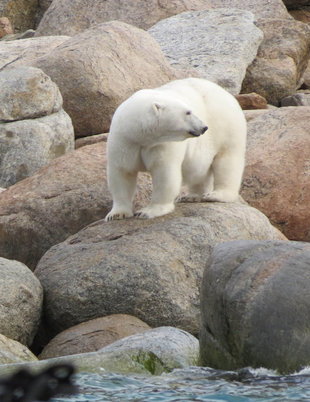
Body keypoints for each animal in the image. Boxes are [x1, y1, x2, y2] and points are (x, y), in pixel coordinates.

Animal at [105, 77, 246, 221]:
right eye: (188, 112)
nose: (204, 127)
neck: (141, 136)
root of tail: (224, 92)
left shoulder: (163, 145)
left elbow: (164, 174)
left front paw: (148, 211)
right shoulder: (124, 142)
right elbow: (122, 173)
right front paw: (117, 214)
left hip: (227, 128)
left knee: (227, 162)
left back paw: (216, 195)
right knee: (199, 170)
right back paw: (191, 196)